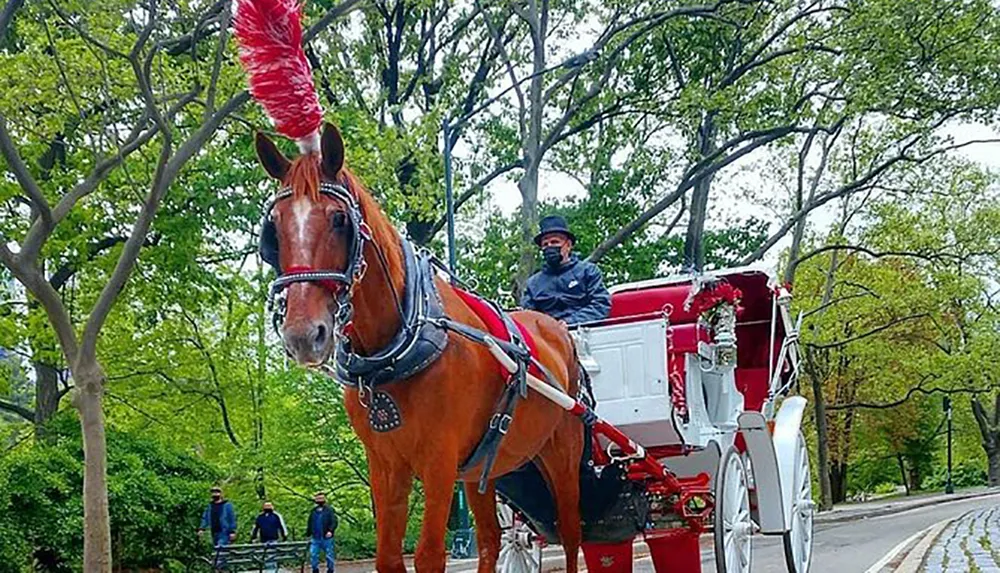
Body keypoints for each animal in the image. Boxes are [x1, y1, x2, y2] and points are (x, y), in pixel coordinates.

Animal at [256, 123, 584, 568]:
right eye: (274, 228)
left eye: (340, 219)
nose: (303, 334)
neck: (394, 353)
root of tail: (559, 329)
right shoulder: (385, 465)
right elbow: (389, 558)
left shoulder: (439, 460)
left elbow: (429, 555)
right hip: (483, 471)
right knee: (490, 539)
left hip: (563, 452)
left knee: (572, 535)